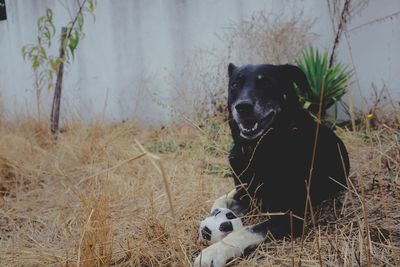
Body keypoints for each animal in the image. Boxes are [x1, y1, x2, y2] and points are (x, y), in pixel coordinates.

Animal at [195, 63, 348, 267]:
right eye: (235, 84)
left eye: (266, 83)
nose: (242, 107)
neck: (258, 149)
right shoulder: (246, 196)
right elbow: (220, 203)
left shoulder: (291, 216)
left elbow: (247, 230)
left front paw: (213, 252)